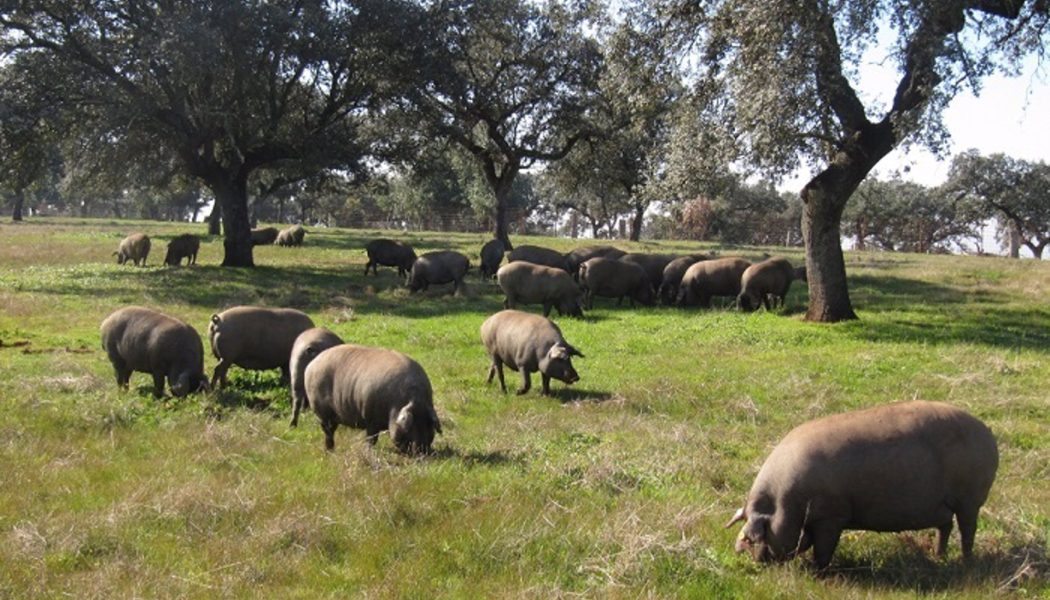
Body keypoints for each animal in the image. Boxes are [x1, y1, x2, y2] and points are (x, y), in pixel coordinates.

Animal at [302, 344, 440, 453]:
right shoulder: (370, 418)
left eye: (429, 425)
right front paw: (369, 451)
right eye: (411, 425)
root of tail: (312, 364)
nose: (422, 451)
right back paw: (329, 451)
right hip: (322, 411)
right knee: (328, 431)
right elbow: (371, 438)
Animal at [726, 401, 995, 571]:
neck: (787, 504)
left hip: (970, 500)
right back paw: (939, 558)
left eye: (754, 536)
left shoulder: (831, 517)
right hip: (943, 505)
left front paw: (817, 572)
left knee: (967, 529)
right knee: (945, 527)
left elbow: (823, 549)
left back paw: (966, 562)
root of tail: (987, 433)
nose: (754, 560)